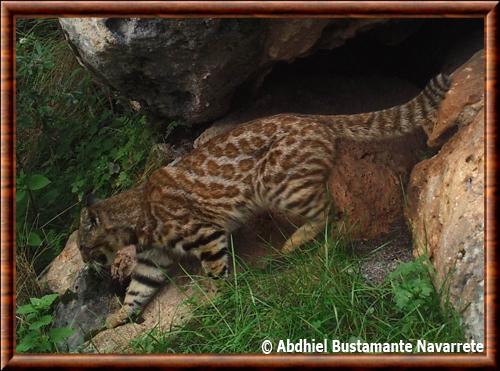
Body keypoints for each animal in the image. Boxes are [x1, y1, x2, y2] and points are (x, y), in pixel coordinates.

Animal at [78, 72, 454, 328]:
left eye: (83, 245)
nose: (84, 261)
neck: (137, 216)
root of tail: (312, 117)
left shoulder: (206, 235)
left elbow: (216, 273)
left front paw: (219, 301)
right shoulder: (151, 260)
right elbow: (135, 292)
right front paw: (117, 319)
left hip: (279, 186)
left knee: (330, 211)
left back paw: (296, 242)